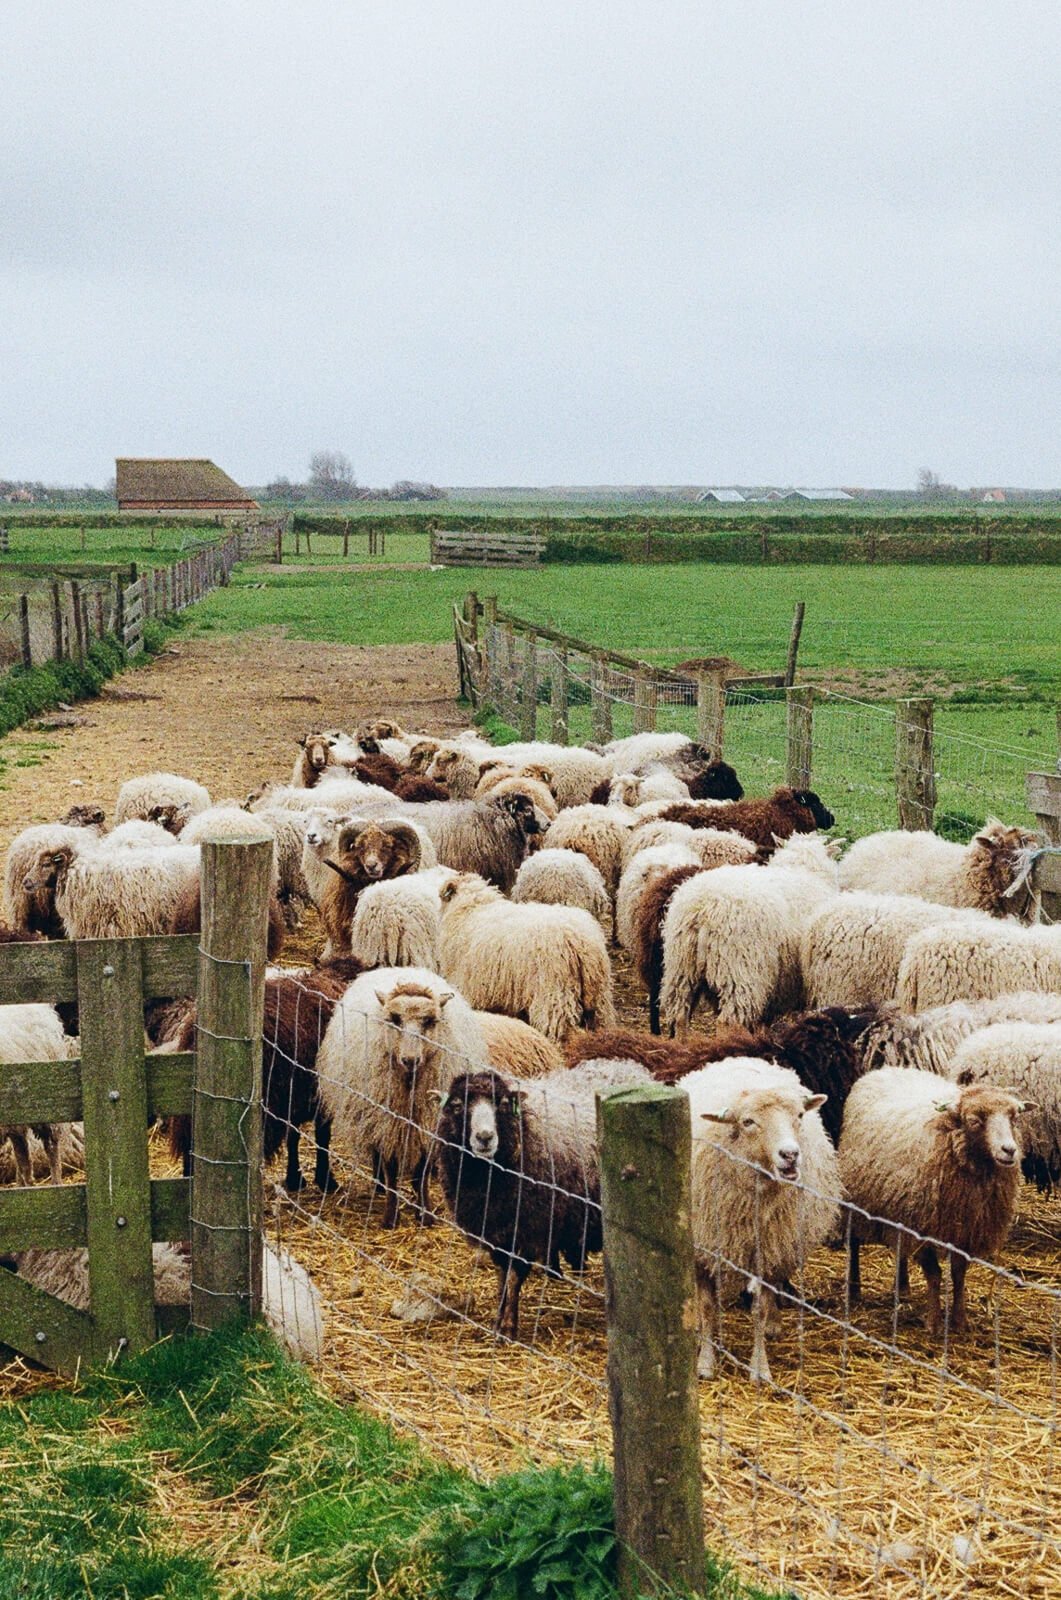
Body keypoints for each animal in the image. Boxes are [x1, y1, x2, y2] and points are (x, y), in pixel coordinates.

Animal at [316, 967, 488, 1227]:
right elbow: (391, 1170)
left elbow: (421, 1173)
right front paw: (390, 1216)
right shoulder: (387, 1120)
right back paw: (378, 1185)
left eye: (430, 1021)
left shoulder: (428, 1121)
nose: (410, 1060)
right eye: (395, 1019)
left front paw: (425, 1213)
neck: (410, 1086)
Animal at [434, 1058, 650, 1338]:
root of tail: (627, 1067)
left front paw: (508, 1327)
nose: (484, 1137)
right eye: (458, 1106)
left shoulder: (530, 1227)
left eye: (503, 1104)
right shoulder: (496, 1230)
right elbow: (502, 1276)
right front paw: (498, 1319)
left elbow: (514, 1276)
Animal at [658, 833, 841, 1034]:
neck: (802, 870)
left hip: (680, 966)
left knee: (679, 1016)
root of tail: (703, 908)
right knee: (727, 1021)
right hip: (740, 970)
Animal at [682, 1056, 839, 1384]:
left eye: (800, 1115)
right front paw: (705, 1362)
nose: (790, 1154)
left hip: (780, 1241)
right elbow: (707, 1306)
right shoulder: (702, 1246)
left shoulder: (766, 1250)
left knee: (772, 1291)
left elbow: (759, 1309)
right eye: (748, 1122)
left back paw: (773, 1325)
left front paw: (760, 1367)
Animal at [839, 1068, 1027, 1336]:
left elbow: (958, 1275)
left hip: (901, 1207)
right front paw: (934, 1322)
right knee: (853, 1242)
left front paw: (960, 1321)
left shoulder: (964, 1231)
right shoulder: (923, 1228)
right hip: (859, 1197)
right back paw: (854, 1290)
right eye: (974, 1120)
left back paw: (903, 1287)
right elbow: (935, 1275)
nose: (1009, 1150)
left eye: (1013, 1118)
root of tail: (887, 1069)